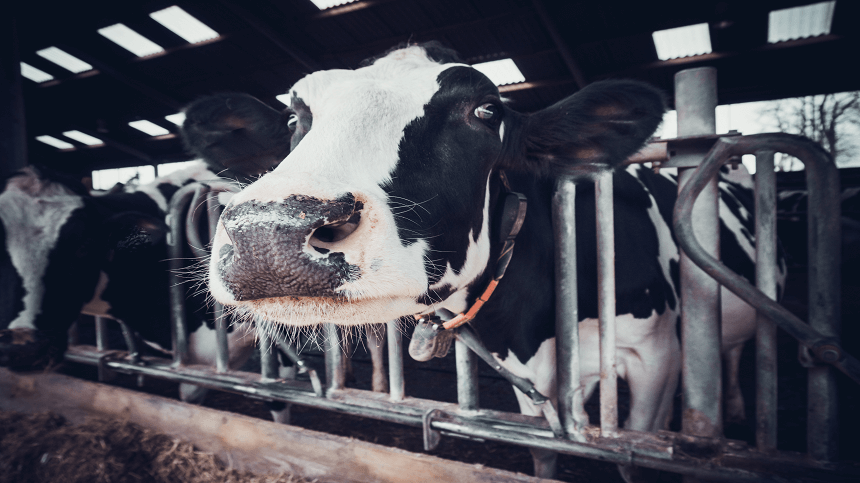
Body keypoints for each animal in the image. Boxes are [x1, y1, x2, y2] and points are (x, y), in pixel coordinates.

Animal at [203, 44, 788, 480]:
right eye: (294, 115)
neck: (539, 324)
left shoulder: (655, 359)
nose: (268, 234)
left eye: (485, 111)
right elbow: (545, 453)